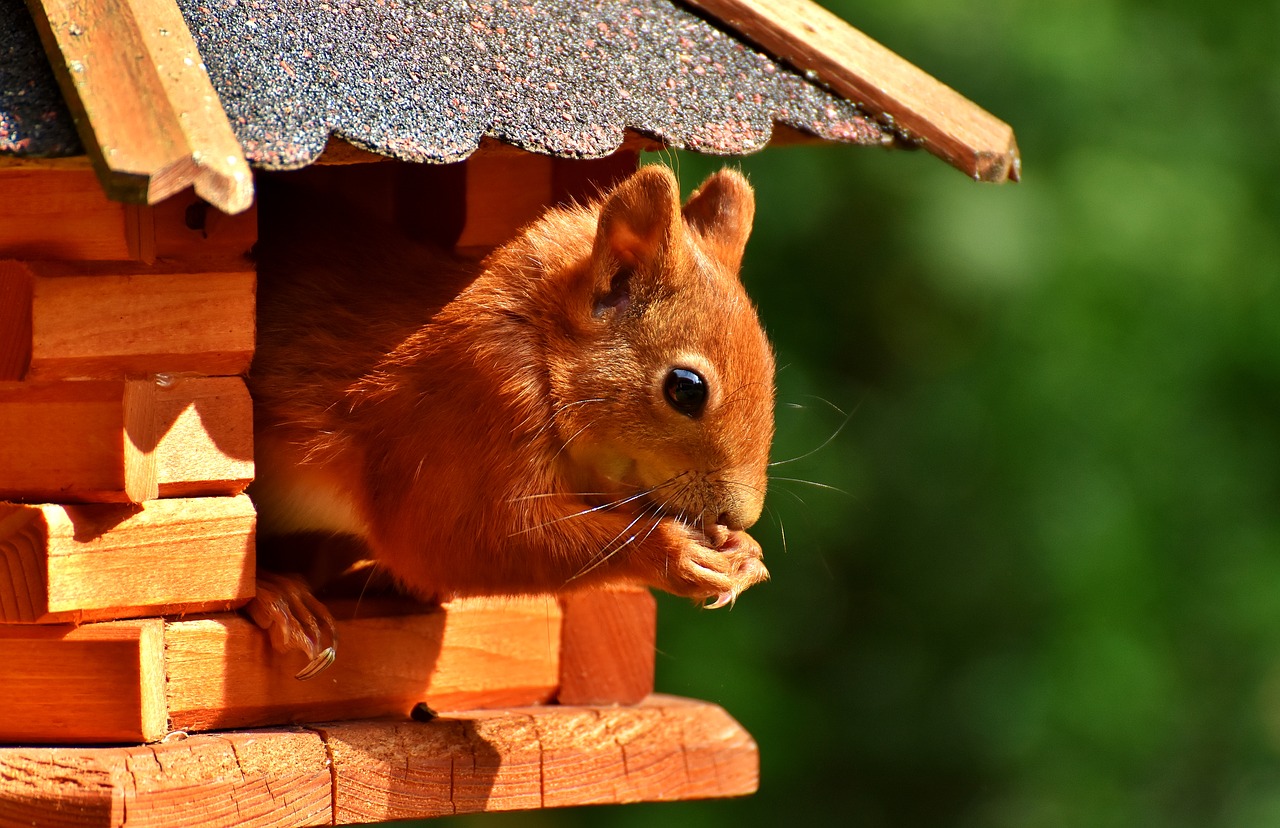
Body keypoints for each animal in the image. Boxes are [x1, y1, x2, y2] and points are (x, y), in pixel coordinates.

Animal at [245, 163, 773, 675]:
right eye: (686, 388)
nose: (738, 515)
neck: (539, 342)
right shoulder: (465, 407)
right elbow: (455, 542)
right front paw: (675, 552)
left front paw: (744, 551)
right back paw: (278, 594)